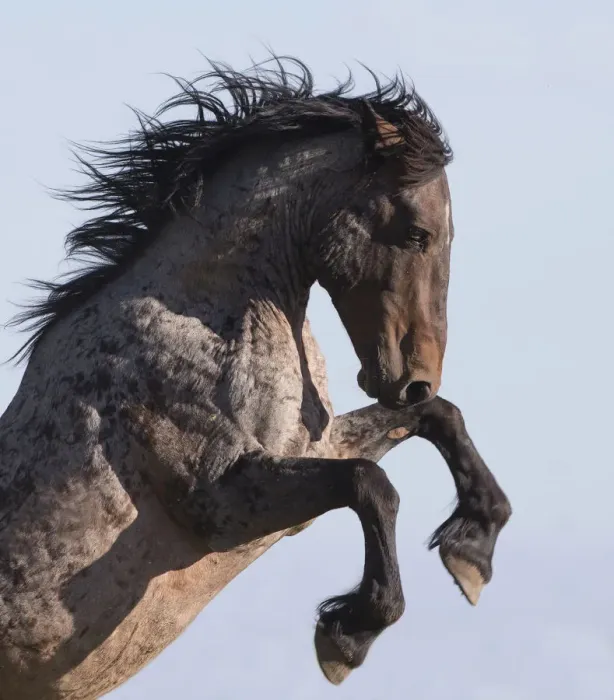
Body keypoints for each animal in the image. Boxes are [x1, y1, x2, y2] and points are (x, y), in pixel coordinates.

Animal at [0, 56, 511, 699]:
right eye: (417, 231)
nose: (416, 377)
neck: (204, 325)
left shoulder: (313, 449)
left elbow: (437, 419)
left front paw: (473, 551)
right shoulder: (218, 502)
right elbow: (371, 484)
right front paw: (349, 634)